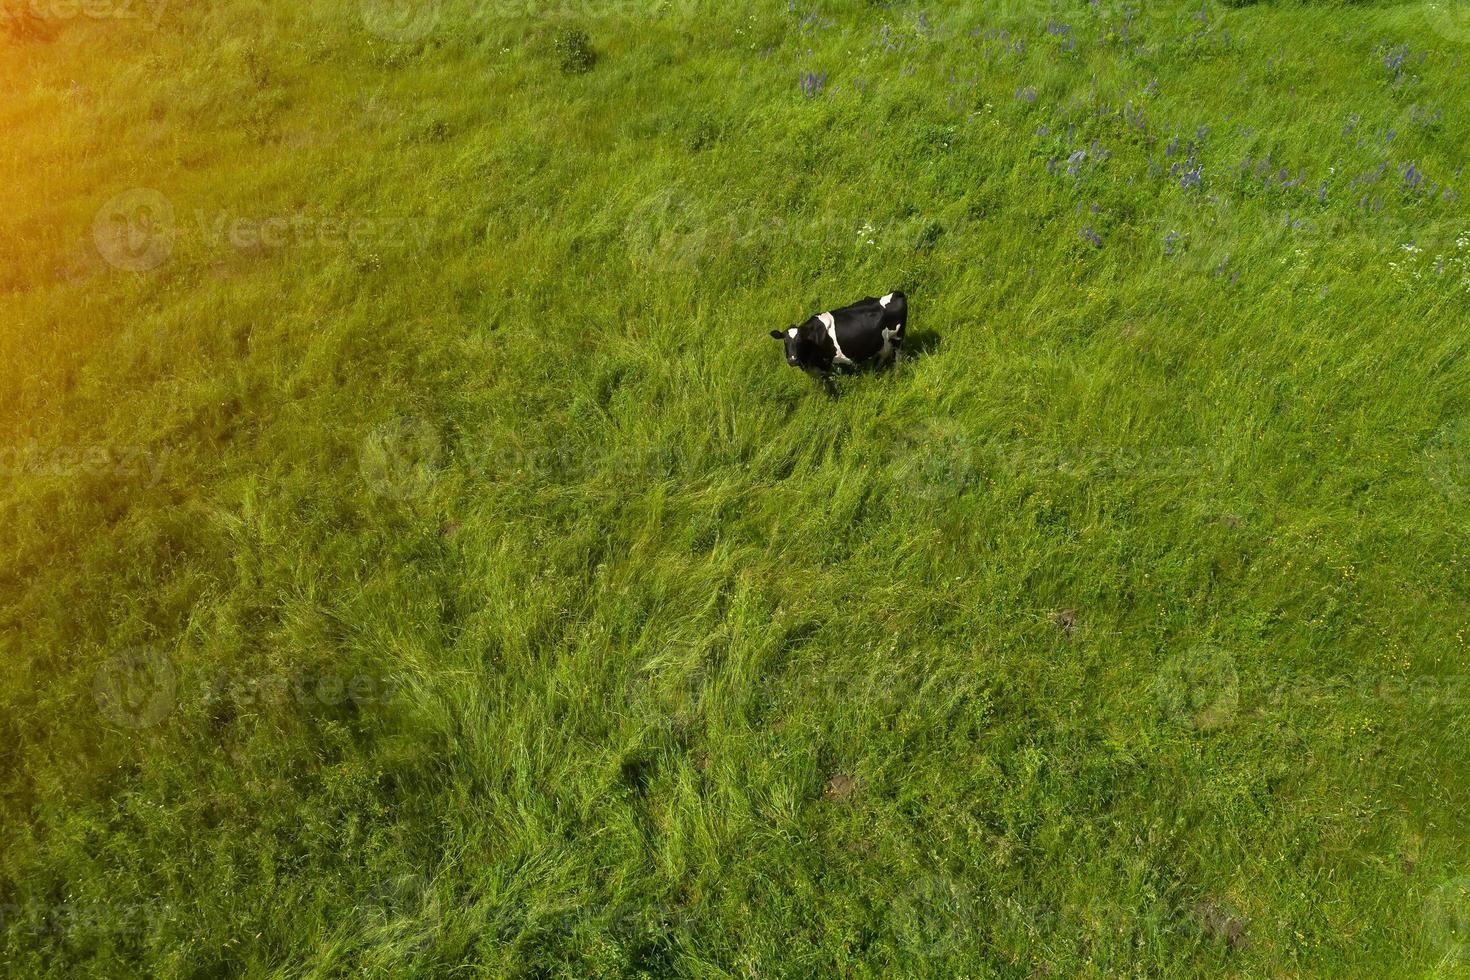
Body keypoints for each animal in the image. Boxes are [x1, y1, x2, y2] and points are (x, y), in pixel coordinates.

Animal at [770, 290, 905, 376]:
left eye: (800, 341)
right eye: (785, 341)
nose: (793, 360)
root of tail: (897, 293)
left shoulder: (824, 363)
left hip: (898, 338)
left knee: (897, 357)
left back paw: (896, 373)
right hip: (883, 343)